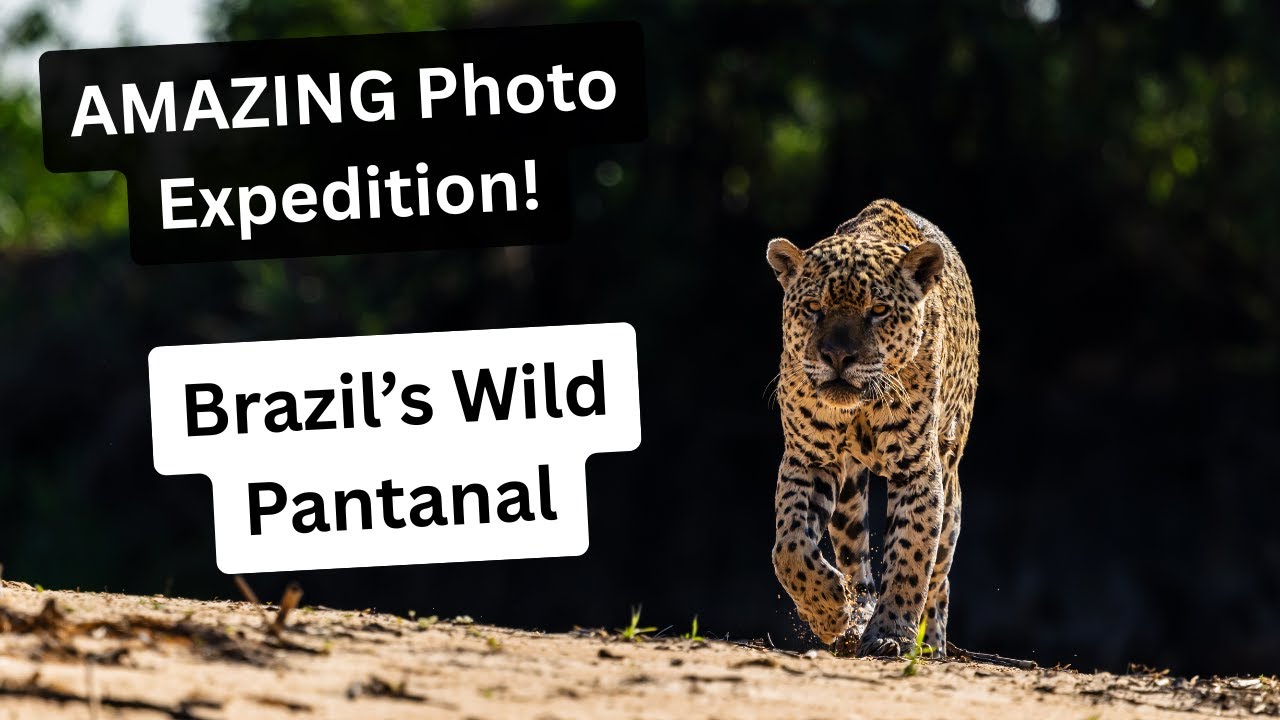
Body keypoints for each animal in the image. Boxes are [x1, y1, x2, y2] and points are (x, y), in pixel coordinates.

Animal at [765, 198, 978, 658]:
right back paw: (854, 614)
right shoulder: (808, 458)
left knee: (939, 574)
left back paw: (931, 643)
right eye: (814, 308)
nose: (836, 357)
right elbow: (789, 545)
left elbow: (912, 554)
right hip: (848, 489)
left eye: (878, 312)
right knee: (853, 555)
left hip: (950, 477)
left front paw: (890, 633)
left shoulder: (917, 469)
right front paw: (829, 610)